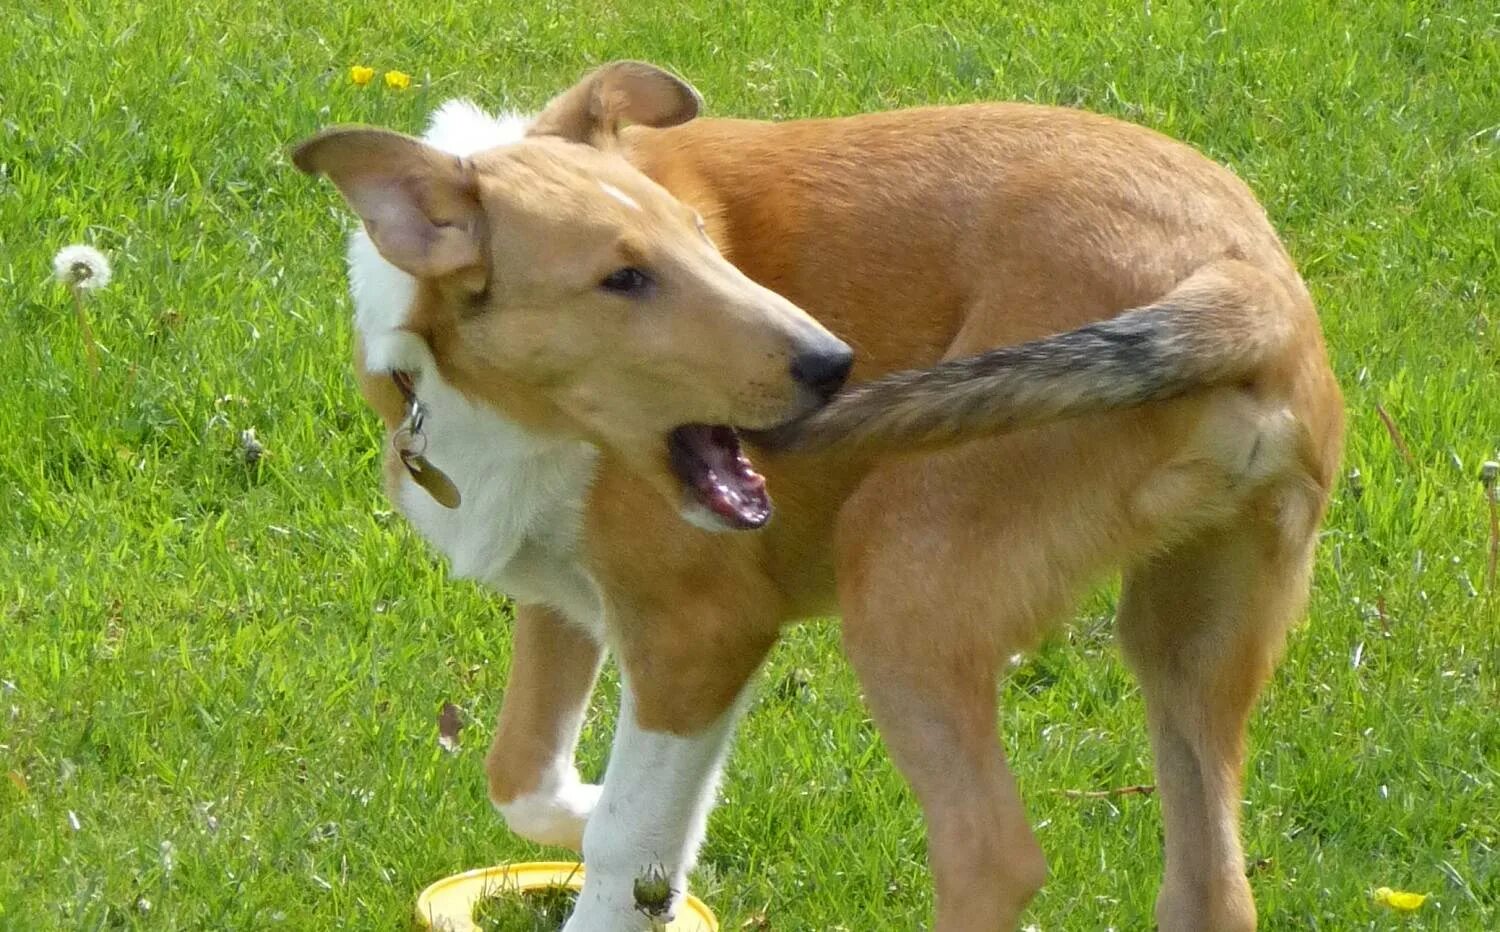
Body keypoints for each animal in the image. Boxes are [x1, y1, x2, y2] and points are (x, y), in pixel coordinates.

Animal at [292, 61, 1350, 924]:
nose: (833, 366)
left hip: (901, 582)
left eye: (702, 240)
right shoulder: (565, 599)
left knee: (994, 858)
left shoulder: (699, 632)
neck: (490, 401)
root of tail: (1243, 279)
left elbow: (625, 845)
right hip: (1193, 632)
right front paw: (602, 815)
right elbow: (521, 773)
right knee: (1212, 887)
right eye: (622, 277)